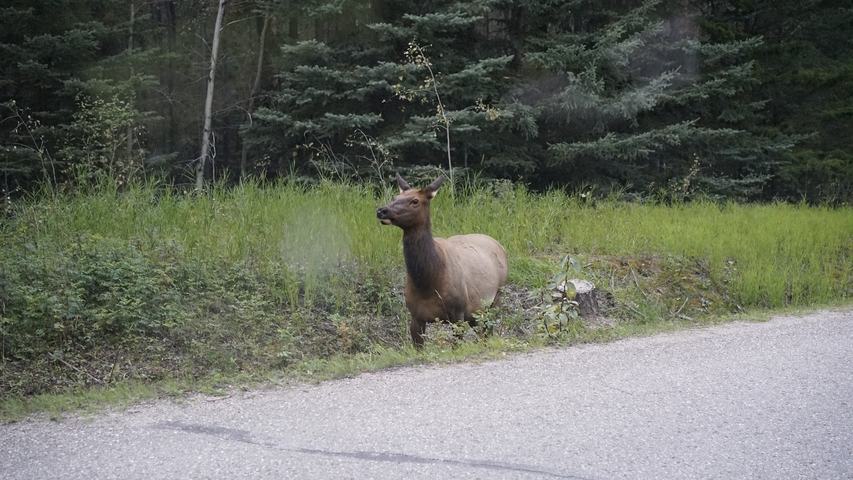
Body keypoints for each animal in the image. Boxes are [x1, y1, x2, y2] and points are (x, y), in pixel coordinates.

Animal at [376, 173, 509, 347]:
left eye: (415, 200)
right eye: (395, 197)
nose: (382, 210)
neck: (428, 282)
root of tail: (500, 246)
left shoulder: (458, 313)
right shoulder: (416, 316)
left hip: (497, 299)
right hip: (475, 312)